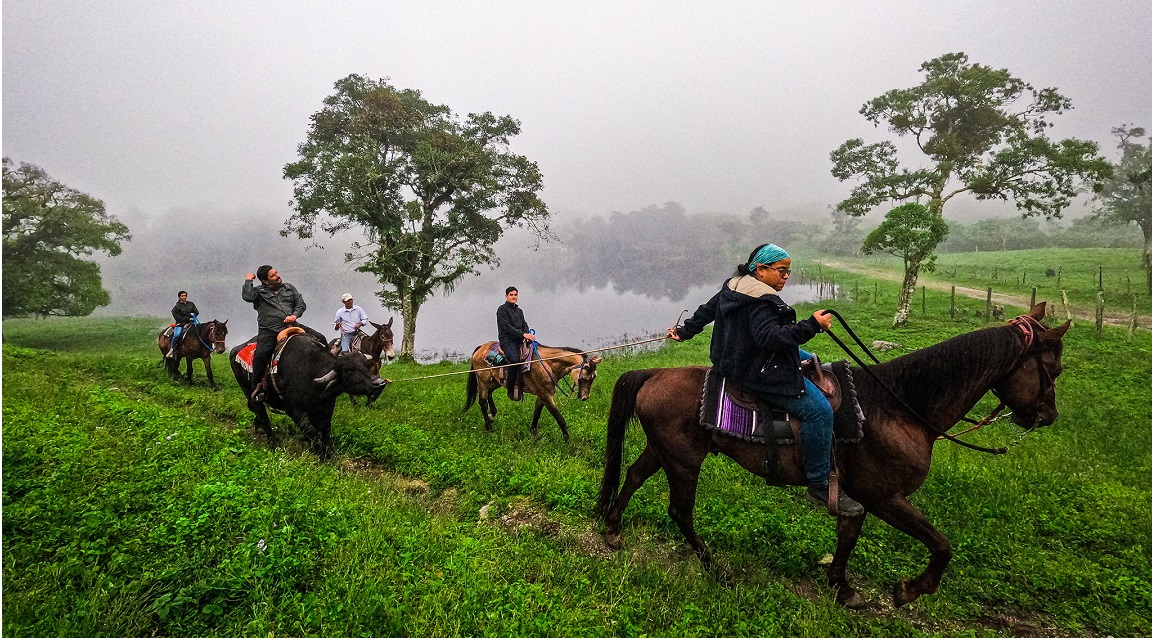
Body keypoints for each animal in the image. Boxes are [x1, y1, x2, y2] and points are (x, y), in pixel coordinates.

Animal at [231, 327, 389, 456]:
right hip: (250, 393)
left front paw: (329, 453)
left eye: (365, 364)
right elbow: (311, 431)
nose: (379, 383)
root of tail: (235, 350)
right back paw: (273, 443)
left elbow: (325, 431)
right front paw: (320, 452)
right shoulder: (294, 410)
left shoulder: (325, 406)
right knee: (263, 416)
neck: (311, 370)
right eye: (347, 370)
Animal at [463, 340, 603, 439]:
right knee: (482, 401)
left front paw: (534, 434)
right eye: (584, 378)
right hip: (483, 380)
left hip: (497, 381)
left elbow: (537, 413)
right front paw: (567, 442)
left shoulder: (542, 395)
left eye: (594, 377)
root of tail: (481, 348)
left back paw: (492, 415)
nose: (584, 397)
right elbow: (559, 418)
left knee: (490, 392)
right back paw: (489, 427)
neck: (547, 364)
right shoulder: (545, 395)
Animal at [599, 304, 1064, 608]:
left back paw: (614, 529)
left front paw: (841, 587)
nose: (1048, 416)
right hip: (683, 461)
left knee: (634, 475)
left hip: (664, 450)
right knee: (680, 511)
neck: (897, 406)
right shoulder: (885, 497)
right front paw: (908, 590)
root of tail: (653, 373)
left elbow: (848, 533)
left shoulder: (857, 497)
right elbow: (941, 544)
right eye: (1054, 369)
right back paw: (714, 567)